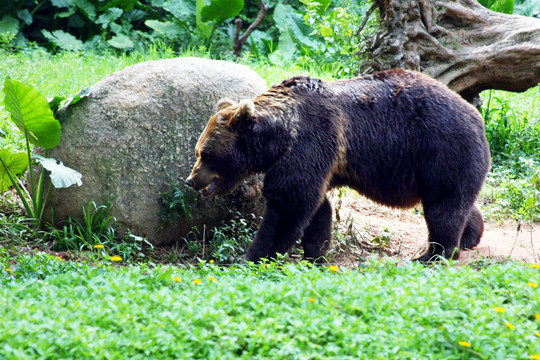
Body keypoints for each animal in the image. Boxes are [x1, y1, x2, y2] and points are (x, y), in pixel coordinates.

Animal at [187, 69, 494, 262]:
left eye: (206, 154)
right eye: (198, 151)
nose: (191, 180)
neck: (278, 136)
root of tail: (477, 118)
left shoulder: (312, 139)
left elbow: (289, 202)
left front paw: (252, 255)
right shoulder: (317, 159)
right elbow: (316, 208)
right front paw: (315, 254)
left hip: (442, 148)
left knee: (444, 207)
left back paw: (433, 254)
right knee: (457, 202)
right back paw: (469, 236)